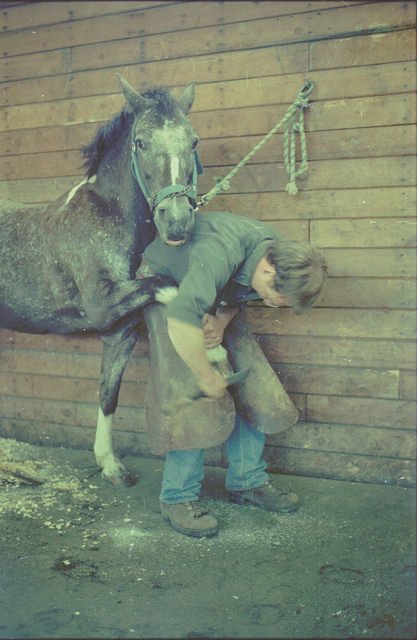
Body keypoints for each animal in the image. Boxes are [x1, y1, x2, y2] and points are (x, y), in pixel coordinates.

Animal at [0, 77, 201, 485]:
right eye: (141, 142)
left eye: (192, 142)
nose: (176, 221)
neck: (109, 217)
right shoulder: (102, 305)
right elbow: (168, 288)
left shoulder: (121, 331)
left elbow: (108, 393)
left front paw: (110, 465)